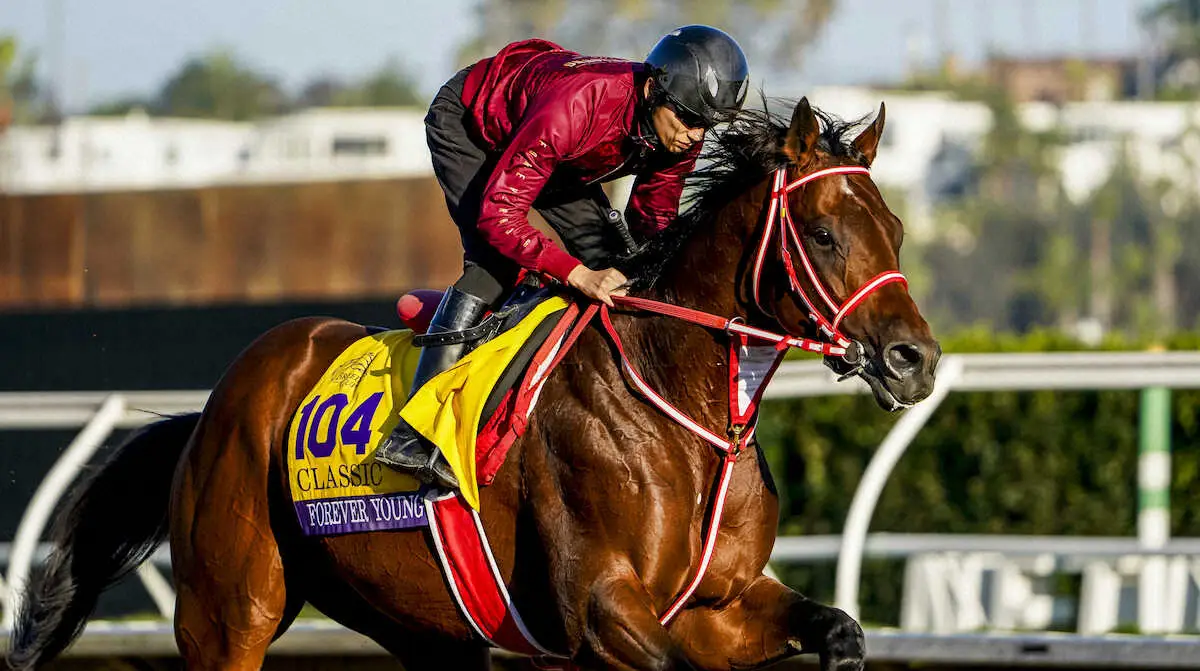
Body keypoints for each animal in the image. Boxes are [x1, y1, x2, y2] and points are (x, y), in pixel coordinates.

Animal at [8, 97, 939, 671]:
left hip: (423, 624)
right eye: (823, 233)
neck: (683, 408)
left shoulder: (723, 605)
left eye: (894, 228)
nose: (915, 359)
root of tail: (211, 409)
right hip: (226, 613)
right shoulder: (599, 609)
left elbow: (839, 628)